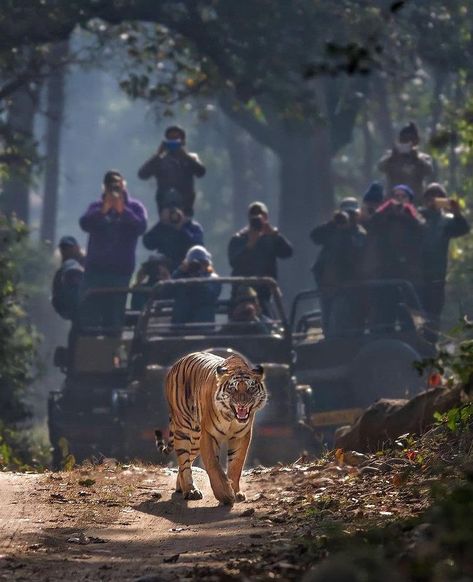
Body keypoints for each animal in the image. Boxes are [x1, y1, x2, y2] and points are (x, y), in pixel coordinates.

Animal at [155, 352, 266, 506]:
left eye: (251, 388)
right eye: (232, 388)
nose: (242, 403)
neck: (231, 417)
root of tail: (177, 364)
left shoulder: (241, 436)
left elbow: (236, 465)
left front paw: (236, 493)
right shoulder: (209, 435)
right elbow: (213, 465)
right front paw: (225, 494)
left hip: (196, 439)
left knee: (186, 462)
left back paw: (181, 487)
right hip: (184, 429)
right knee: (184, 462)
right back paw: (190, 491)